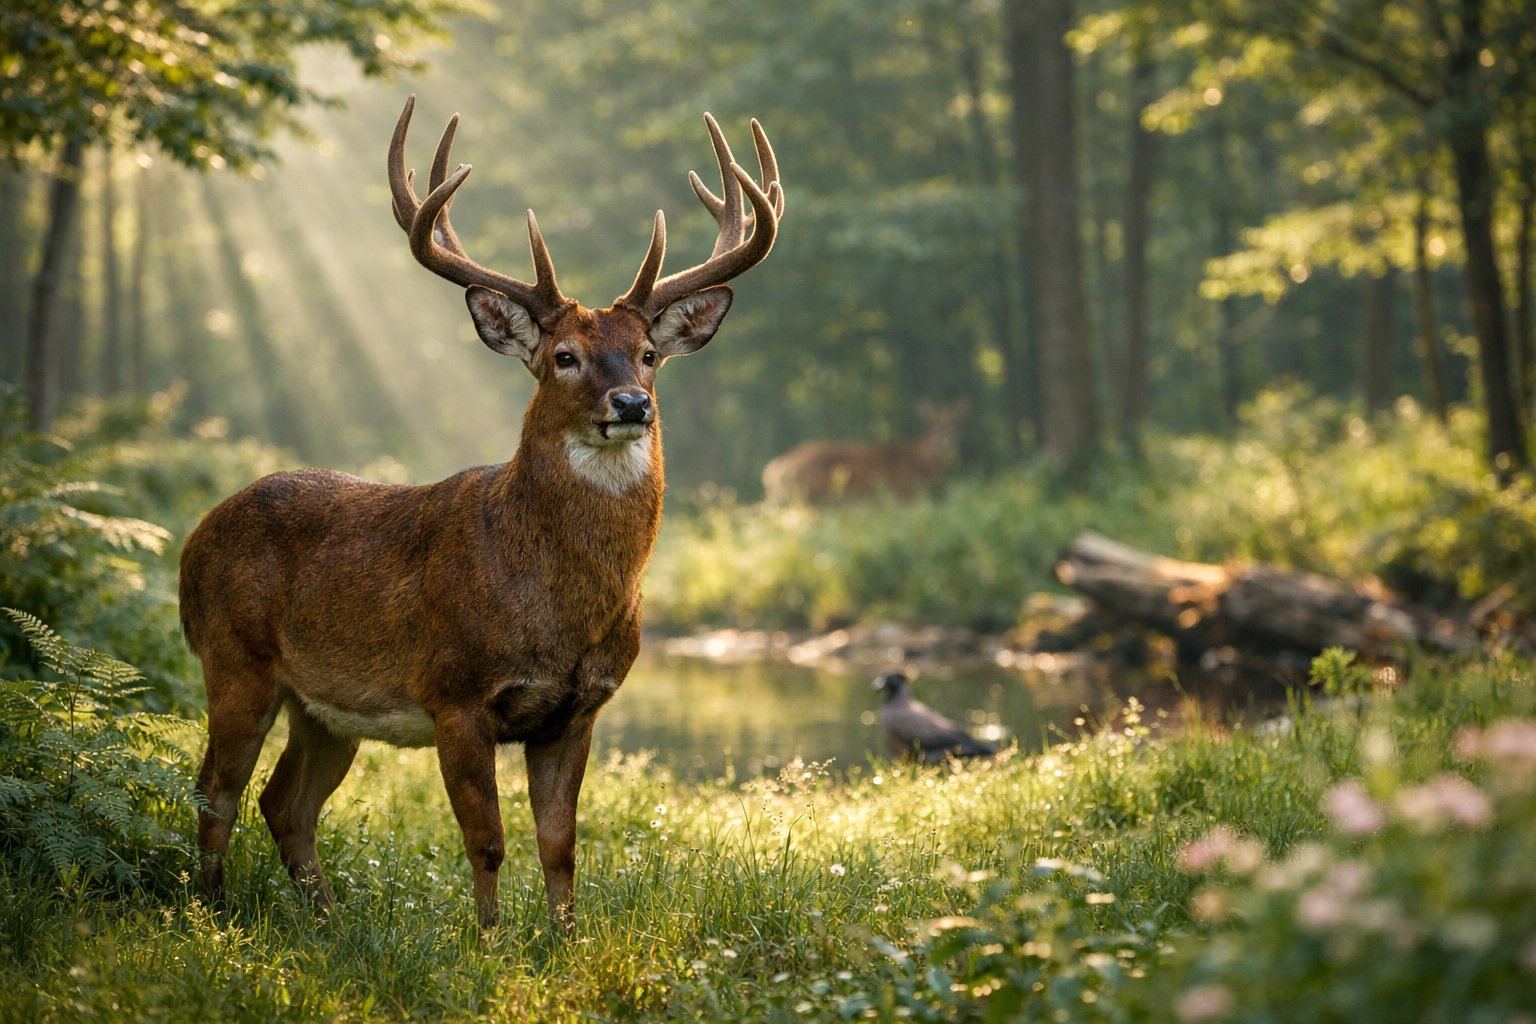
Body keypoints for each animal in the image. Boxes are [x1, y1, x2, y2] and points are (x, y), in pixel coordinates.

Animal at [178, 95, 783, 934]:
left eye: (648, 353)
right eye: (563, 356)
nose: (633, 403)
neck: (553, 599)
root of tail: (193, 539)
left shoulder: (578, 708)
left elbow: (560, 844)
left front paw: (565, 941)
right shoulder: (456, 692)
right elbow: (488, 840)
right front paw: (489, 942)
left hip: (325, 706)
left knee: (284, 801)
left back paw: (327, 923)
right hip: (233, 658)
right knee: (216, 790)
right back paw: (212, 912)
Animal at [761, 399, 967, 503]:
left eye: (957, 422)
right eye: (935, 423)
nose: (947, 437)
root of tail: (774, 469)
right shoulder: (906, 494)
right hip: (816, 495)